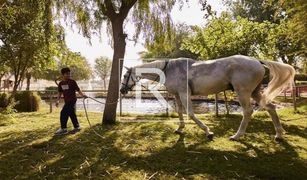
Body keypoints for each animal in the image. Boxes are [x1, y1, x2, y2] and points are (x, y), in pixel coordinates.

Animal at [120, 54, 296, 141]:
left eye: (125, 76)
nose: (122, 90)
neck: (169, 69)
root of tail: (257, 61)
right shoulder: (177, 95)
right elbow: (180, 112)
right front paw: (180, 128)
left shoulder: (184, 94)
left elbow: (190, 114)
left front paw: (208, 132)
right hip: (255, 92)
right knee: (271, 107)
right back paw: (279, 135)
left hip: (243, 92)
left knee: (248, 112)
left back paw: (237, 136)